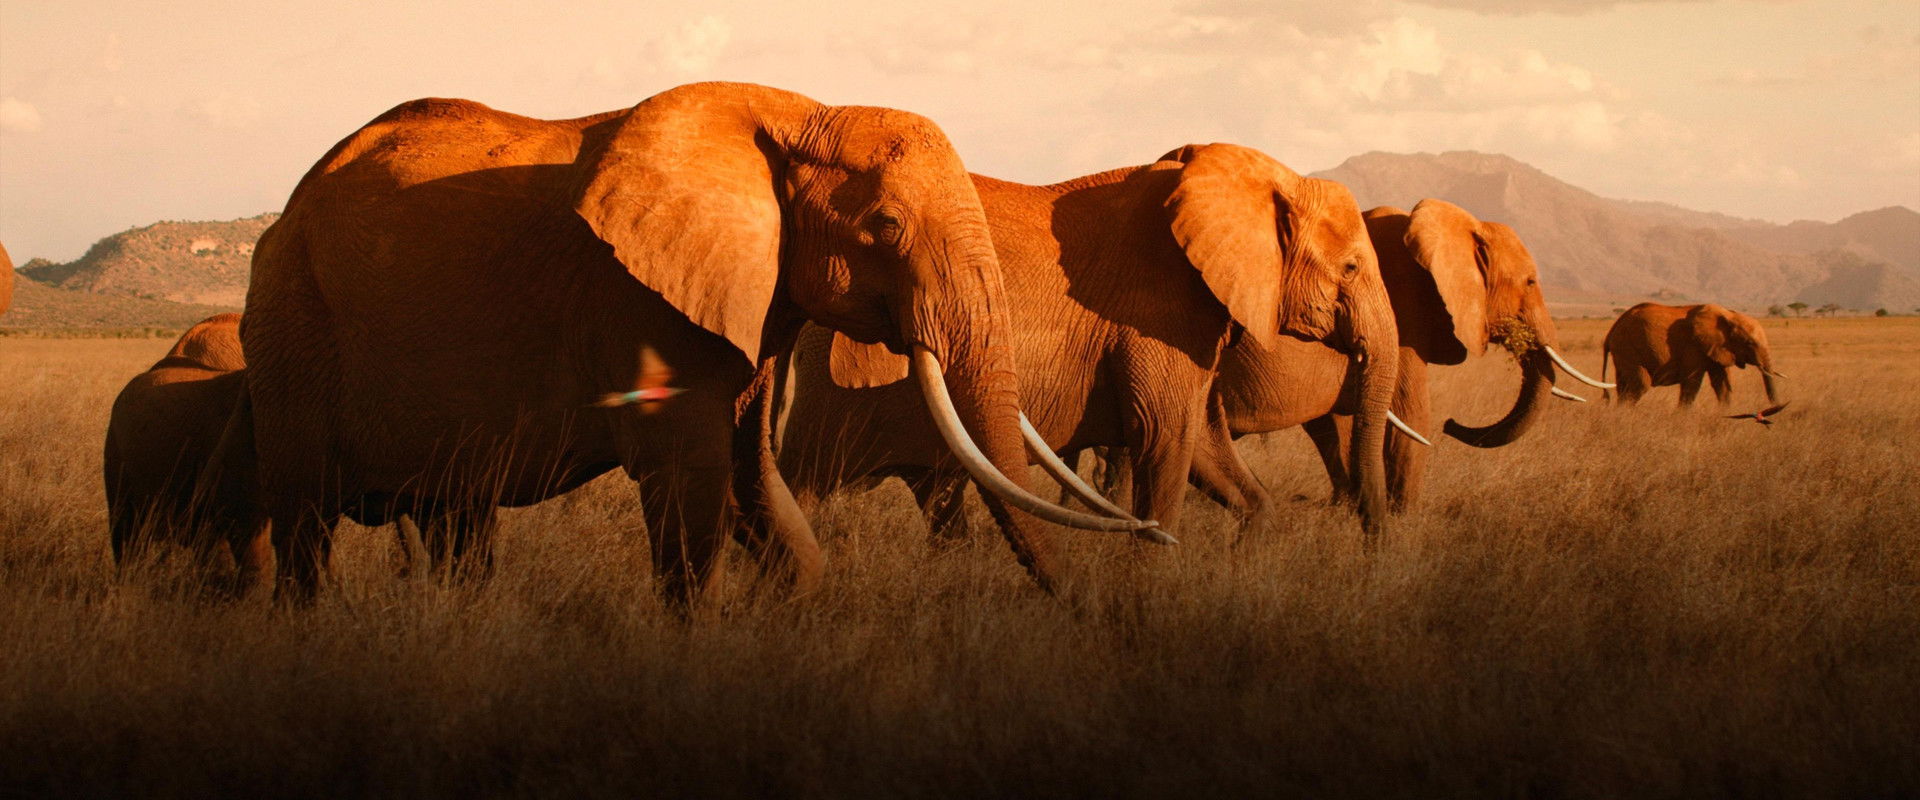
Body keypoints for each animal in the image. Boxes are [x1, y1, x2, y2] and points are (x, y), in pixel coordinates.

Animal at [225, 81, 1148, 604]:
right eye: (886, 226)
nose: (1083, 610)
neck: (797, 116)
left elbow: (752, 478)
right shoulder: (640, 303)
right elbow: (693, 480)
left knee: (456, 518)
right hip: (290, 328)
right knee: (305, 524)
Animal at [777, 143, 1402, 544]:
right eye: (1350, 268)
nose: (1374, 543)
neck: (1257, 178)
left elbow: (1205, 447)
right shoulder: (1157, 313)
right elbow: (1166, 440)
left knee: (940, 501)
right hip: (829, 393)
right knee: (802, 482)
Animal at [1601, 302, 1783, 407]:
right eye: (1750, 343)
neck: (1729, 315)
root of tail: (1611, 331)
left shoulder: (1716, 348)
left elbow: (1721, 384)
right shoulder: (1693, 346)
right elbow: (1692, 382)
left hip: (1623, 350)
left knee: (1623, 386)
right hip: (1628, 347)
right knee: (1639, 385)